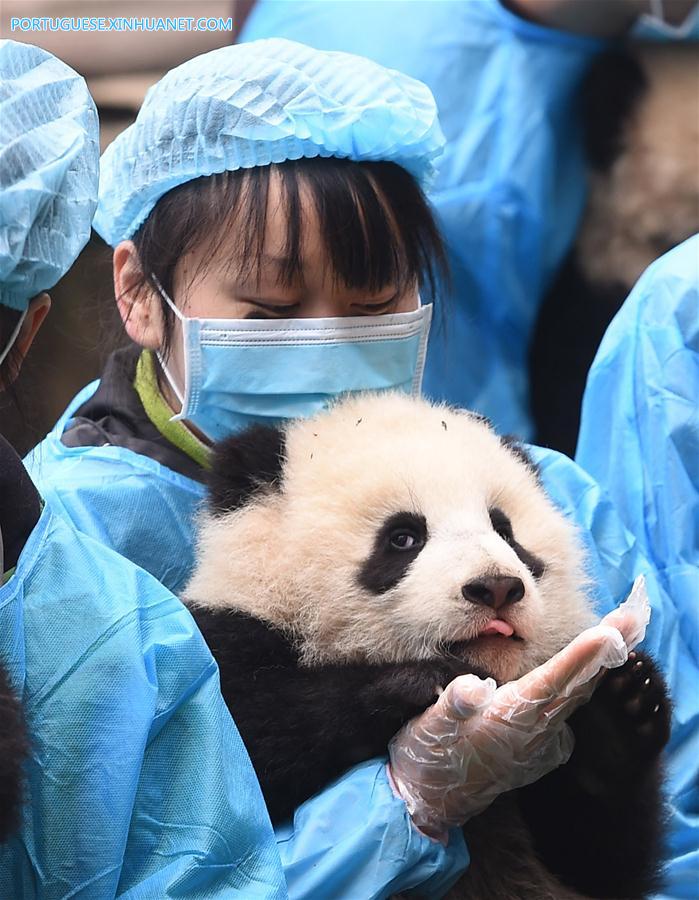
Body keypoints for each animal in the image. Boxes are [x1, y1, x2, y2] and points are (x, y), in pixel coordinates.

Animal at [183, 393, 670, 900]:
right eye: (403, 537)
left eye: (504, 530)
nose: (496, 587)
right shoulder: (232, 630)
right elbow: (241, 766)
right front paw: (419, 685)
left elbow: (599, 859)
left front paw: (623, 708)